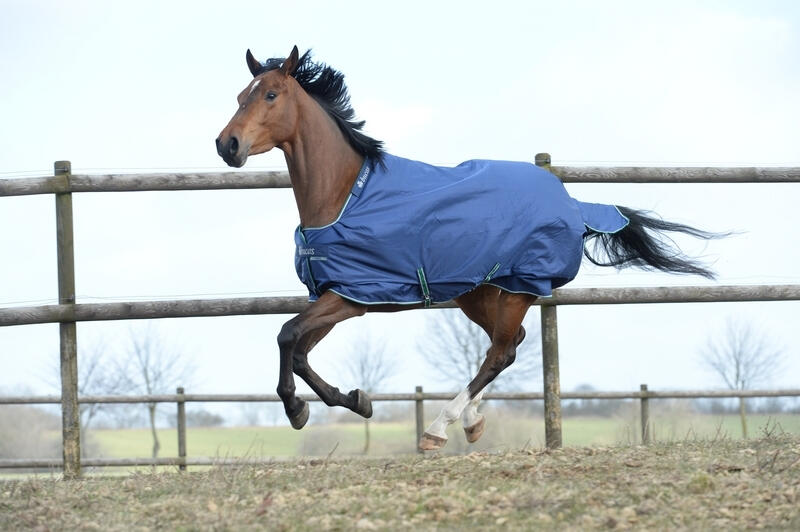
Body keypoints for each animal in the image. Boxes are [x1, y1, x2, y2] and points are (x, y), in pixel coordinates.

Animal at [216, 46, 721, 451]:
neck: (344, 196)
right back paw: (471, 421)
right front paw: (354, 401)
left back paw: (438, 428)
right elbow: (299, 349)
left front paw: (301, 410)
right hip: (477, 292)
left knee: (500, 351)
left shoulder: (352, 297)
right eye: (241, 95)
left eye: (270, 95)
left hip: (519, 286)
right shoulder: (334, 294)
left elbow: (287, 336)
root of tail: (570, 201)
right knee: (510, 344)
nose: (227, 144)